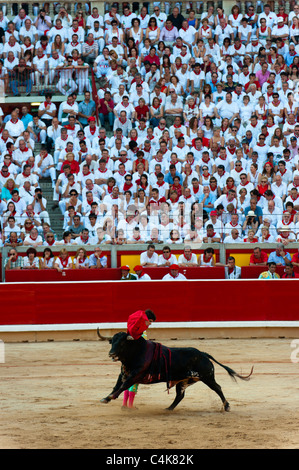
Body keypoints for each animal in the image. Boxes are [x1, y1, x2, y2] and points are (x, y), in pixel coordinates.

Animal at [100, 330, 253, 412]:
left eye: (122, 343)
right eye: (112, 342)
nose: (111, 354)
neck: (136, 352)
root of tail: (202, 354)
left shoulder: (135, 375)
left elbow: (123, 386)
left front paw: (109, 398)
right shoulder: (123, 374)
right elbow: (117, 386)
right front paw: (106, 398)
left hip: (207, 377)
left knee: (218, 388)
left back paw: (226, 406)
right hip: (184, 381)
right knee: (180, 395)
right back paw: (168, 408)